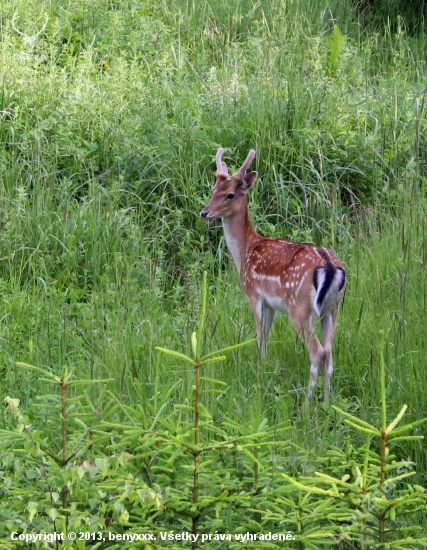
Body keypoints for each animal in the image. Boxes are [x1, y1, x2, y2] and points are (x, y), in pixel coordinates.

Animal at [201, 149, 348, 404]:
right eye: (213, 190)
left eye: (230, 194)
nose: (204, 212)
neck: (246, 251)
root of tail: (330, 267)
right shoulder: (270, 305)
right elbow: (266, 338)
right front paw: (265, 367)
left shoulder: (254, 294)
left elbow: (260, 338)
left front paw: (260, 373)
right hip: (332, 308)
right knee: (329, 352)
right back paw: (328, 403)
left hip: (299, 306)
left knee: (317, 351)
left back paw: (308, 404)